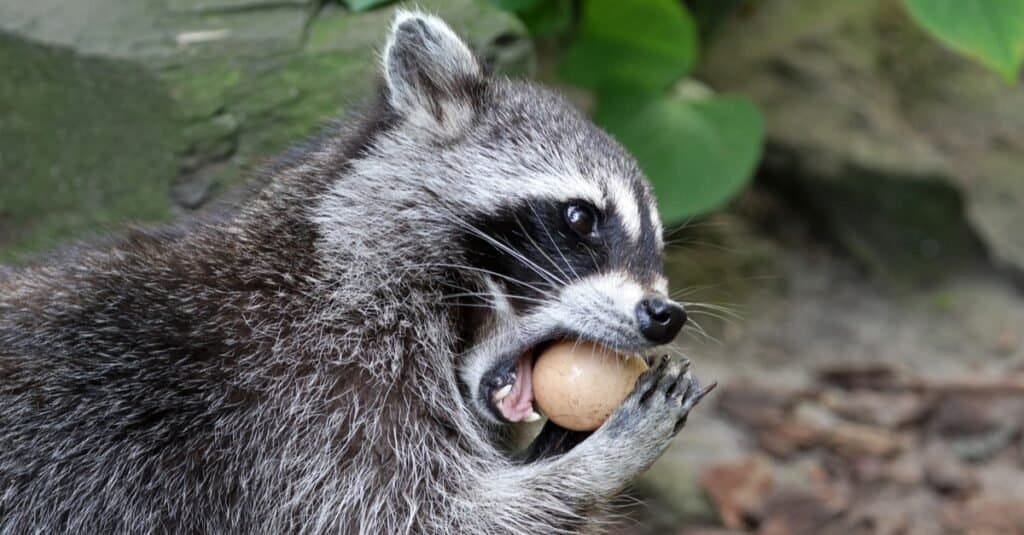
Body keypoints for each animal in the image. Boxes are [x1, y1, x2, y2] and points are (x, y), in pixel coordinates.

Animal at [0, 11, 714, 534]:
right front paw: (594, 465)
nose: (664, 315)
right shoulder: (301, 396)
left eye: (656, 244)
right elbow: (407, 515)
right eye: (579, 217)